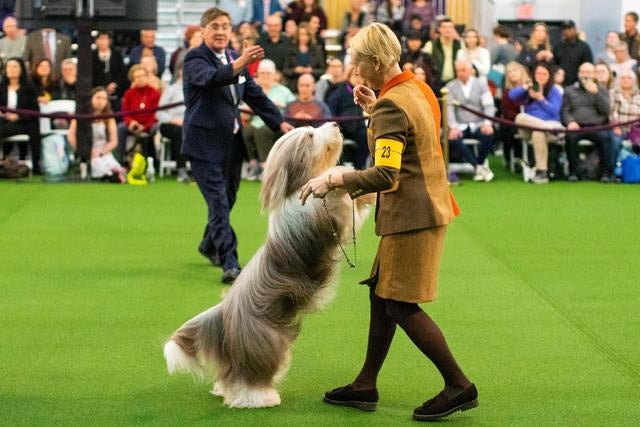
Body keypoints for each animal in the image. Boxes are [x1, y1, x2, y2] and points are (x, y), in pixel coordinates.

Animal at [164, 123, 376, 408]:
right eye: (310, 135)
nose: (334, 124)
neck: (294, 189)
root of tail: (225, 313)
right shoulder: (326, 215)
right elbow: (341, 200)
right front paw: (341, 177)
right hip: (264, 341)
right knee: (252, 374)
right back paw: (260, 397)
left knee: (229, 375)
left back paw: (226, 390)